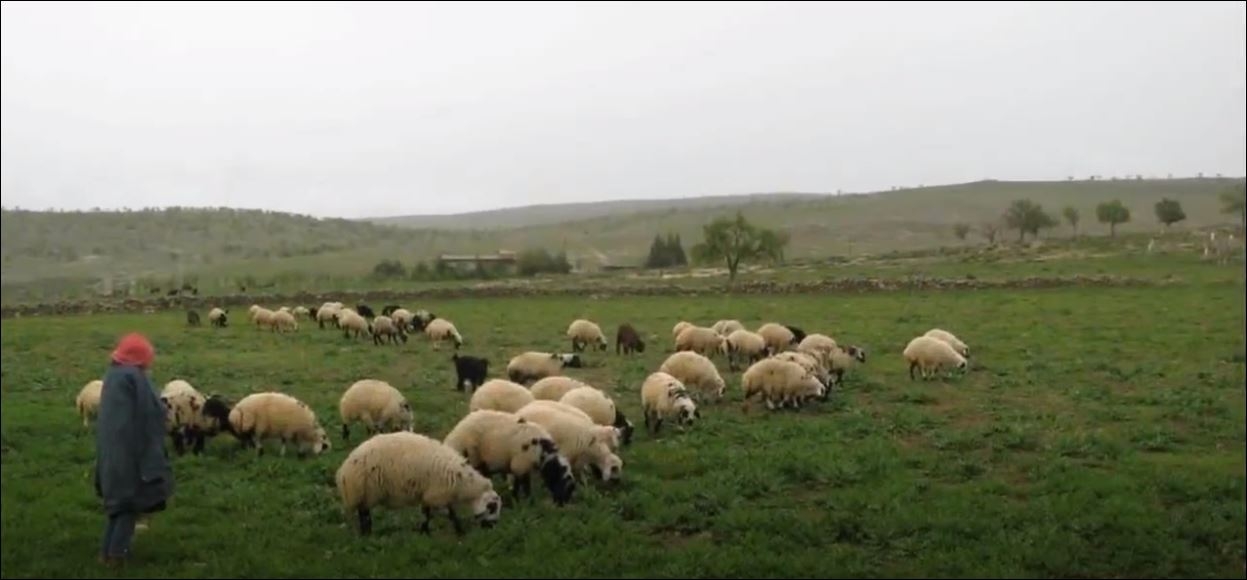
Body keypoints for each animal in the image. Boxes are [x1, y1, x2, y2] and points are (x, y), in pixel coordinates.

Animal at [336, 431, 506, 536]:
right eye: (492, 507)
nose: (493, 527)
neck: (463, 483)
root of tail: (345, 470)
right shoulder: (438, 493)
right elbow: (450, 514)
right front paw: (459, 531)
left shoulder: (428, 493)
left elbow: (426, 513)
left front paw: (424, 532)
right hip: (367, 490)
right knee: (364, 513)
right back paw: (367, 533)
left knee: (363, 512)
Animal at [441, 409, 576, 503]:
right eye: (564, 484)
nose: (561, 504)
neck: (542, 451)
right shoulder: (520, 464)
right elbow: (522, 484)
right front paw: (521, 499)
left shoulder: (523, 466)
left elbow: (523, 483)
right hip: (472, 458)